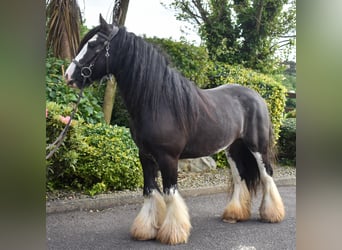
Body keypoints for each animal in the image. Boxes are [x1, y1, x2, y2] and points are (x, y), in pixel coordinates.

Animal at [65, 15, 284, 244]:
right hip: (232, 149)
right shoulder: (145, 156)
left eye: (93, 44)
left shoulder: (168, 158)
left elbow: (170, 193)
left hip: (257, 147)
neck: (158, 102)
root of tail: (256, 96)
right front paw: (146, 230)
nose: (68, 75)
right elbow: (150, 191)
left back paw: (272, 214)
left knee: (267, 175)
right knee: (240, 178)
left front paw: (173, 233)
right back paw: (234, 214)